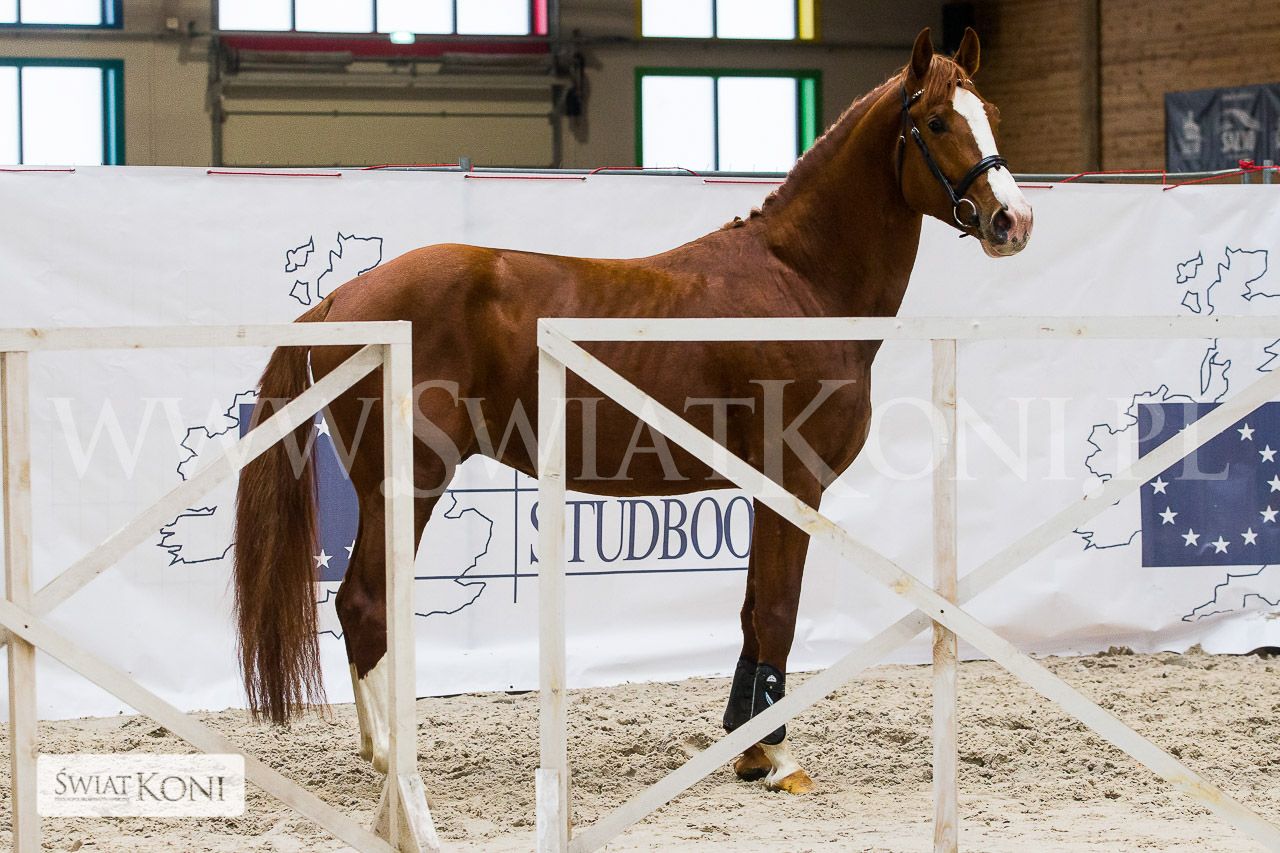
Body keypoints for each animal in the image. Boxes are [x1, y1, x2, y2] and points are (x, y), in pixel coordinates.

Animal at [233, 26, 1032, 796]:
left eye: (990, 113)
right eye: (937, 121)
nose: (1012, 220)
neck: (798, 282)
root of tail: (341, 298)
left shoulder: (765, 490)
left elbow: (752, 612)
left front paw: (745, 750)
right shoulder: (793, 482)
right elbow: (777, 612)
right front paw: (777, 756)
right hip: (406, 483)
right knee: (365, 605)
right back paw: (394, 760)